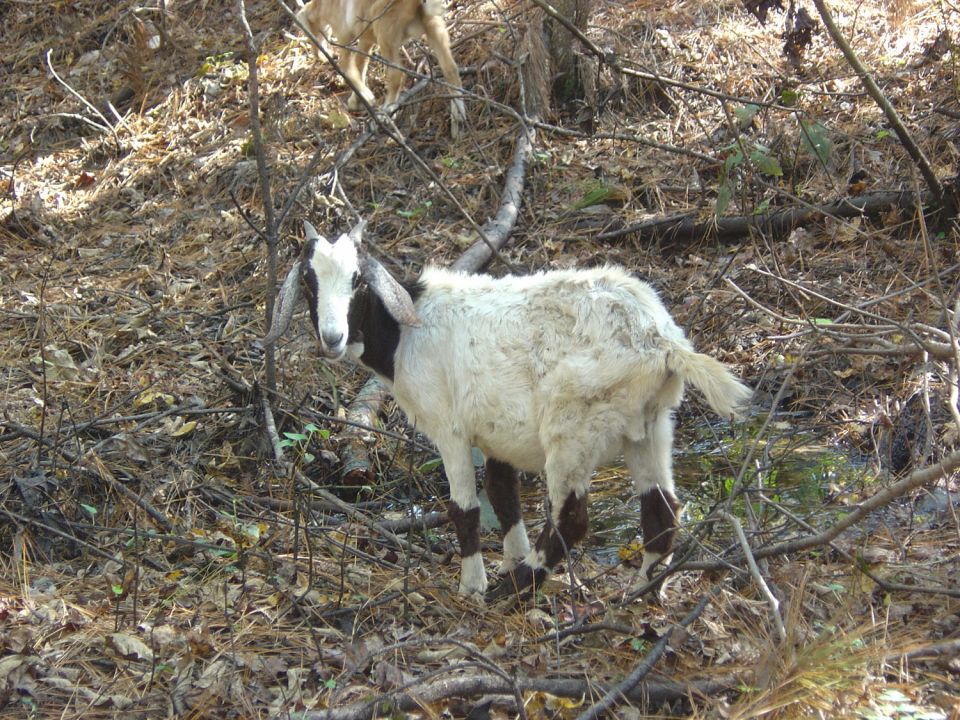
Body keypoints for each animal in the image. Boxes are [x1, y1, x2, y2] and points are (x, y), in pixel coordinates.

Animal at [268, 220, 752, 600]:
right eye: (309, 281)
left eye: (358, 281)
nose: (332, 338)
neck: (407, 333)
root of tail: (661, 340)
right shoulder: (496, 432)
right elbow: (504, 497)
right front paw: (508, 558)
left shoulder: (450, 429)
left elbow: (465, 509)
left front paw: (474, 585)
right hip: (651, 422)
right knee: (662, 509)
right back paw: (641, 591)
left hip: (574, 424)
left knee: (571, 518)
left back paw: (519, 585)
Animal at [296, 0, 465, 137]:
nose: (320, 57)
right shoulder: (365, 39)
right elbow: (360, 65)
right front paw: (356, 101)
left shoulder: (345, 38)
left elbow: (347, 68)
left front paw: (366, 96)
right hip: (433, 25)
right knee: (450, 68)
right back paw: (458, 118)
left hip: (384, 26)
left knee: (397, 74)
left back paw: (387, 112)